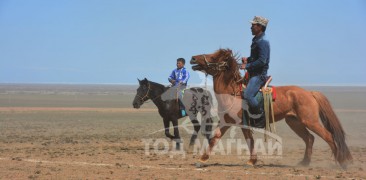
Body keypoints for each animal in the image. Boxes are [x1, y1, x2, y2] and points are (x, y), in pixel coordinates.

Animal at [190, 48, 350, 169]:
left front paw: (251, 161)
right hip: (294, 122)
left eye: (213, 56)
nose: (193, 58)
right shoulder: (226, 122)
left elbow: (249, 140)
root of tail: (309, 93)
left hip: (310, 121)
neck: (232, 93)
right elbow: (215, 137)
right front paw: (202, 160)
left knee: (328, 136)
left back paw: (340, 163)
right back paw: (304, 163)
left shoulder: (243, 123)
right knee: (309, 138)